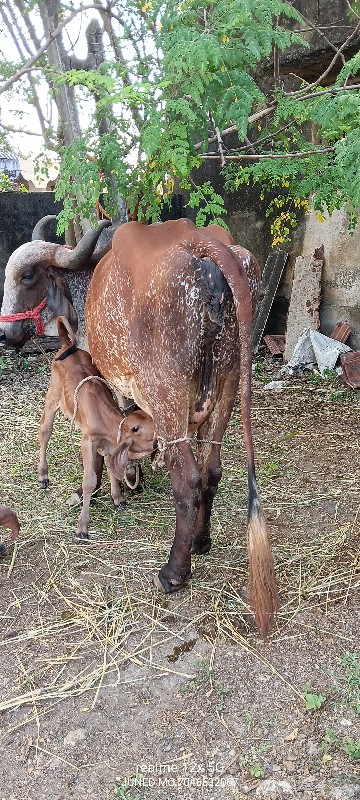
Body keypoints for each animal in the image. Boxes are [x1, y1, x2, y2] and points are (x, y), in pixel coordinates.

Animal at [38, 318, 155, 536]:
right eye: (141, 431)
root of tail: (68, 345)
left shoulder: (108, 444)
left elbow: (111, 467)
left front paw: (118, 499)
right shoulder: (88, 440)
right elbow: (89, 480)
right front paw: (82, 527)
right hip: (52, 396)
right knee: (45, 432)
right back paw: (42, 476)